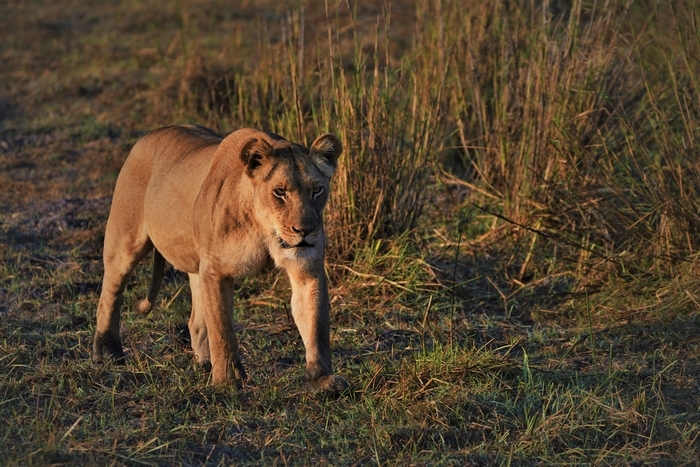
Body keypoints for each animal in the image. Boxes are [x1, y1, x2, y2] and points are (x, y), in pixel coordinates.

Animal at [92, 124, 348, 393]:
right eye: (280, 192)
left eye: (317, 190)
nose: (306, 230)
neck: (265, 229)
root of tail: (149, 135)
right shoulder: (216, 271)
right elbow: (222, 330)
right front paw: (228, 380)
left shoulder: (306, 269)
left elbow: (316, 325)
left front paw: (324, 379)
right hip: (124, 243)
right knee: (109, 296)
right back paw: (108, 352)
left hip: (197, 264)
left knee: (195, 320)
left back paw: (205, 363)